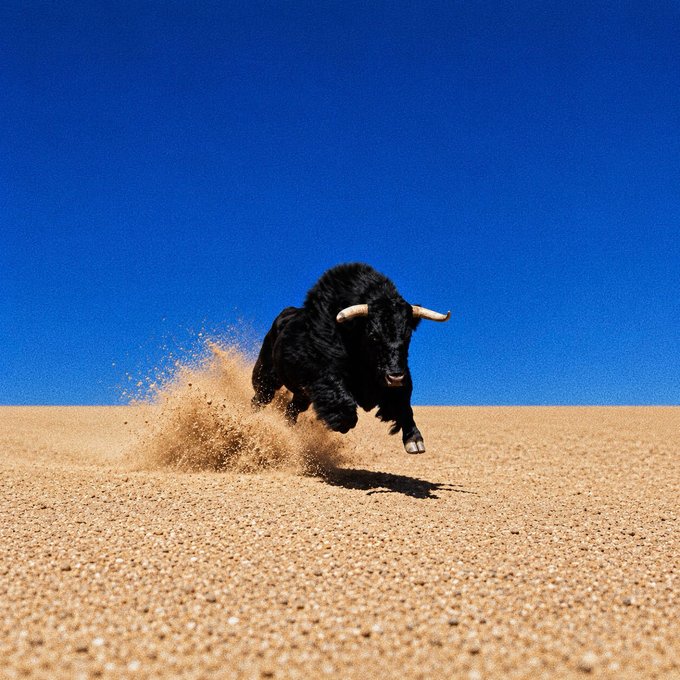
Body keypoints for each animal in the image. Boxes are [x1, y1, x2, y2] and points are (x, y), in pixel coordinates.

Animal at [251, 263, 450, 453]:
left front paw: (414, 441)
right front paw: (342, 423)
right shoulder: (325, 375)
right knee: (260, 398)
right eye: (373, 335)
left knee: (291, 410)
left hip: (301, 396)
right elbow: (342, 401)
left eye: (408, 334)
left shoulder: (400, 380)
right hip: (267, 377)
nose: (395, 377)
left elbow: (403, 405)